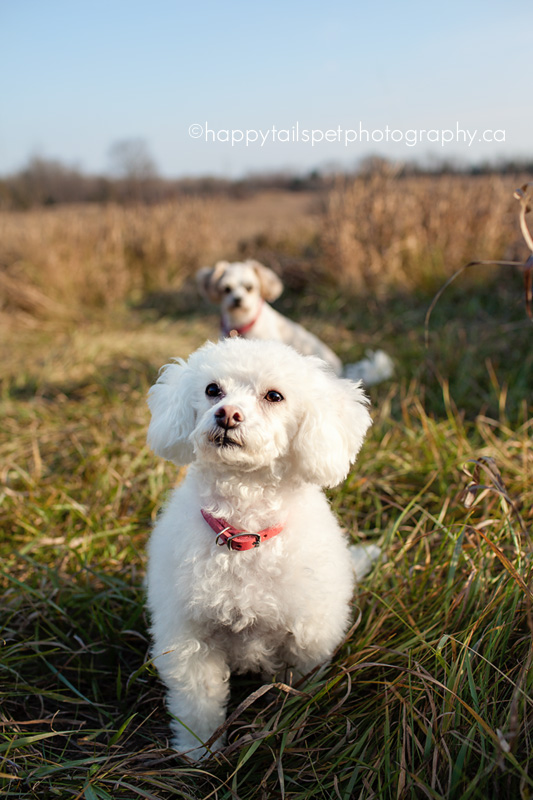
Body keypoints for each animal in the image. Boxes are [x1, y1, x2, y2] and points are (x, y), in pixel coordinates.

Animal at [145, 334, 374, 760]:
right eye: (212, 390)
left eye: (274, 396)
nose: (227, 414)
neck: (244, 535)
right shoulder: (190, 642)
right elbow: (198, 705)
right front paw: (199, 754)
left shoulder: (306, 640)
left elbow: (296, 691)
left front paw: (288, 732)